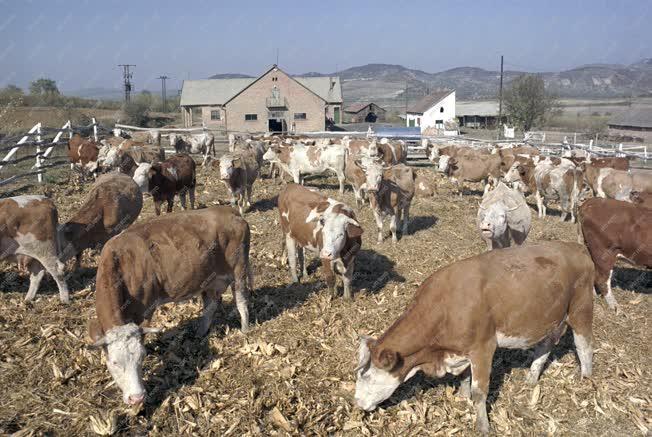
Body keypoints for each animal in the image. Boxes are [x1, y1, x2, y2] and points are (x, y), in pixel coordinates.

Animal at [90, 206, 253, 404]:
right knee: (211, 305)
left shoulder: (144, 310)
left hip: (239, 270)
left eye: (141, 357)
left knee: (241, 301)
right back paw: (200, 333)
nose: (137, 398)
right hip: (210, 279)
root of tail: (229, 209)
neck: (120, 263)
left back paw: (244, 329)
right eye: (114, 362)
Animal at [354, 240, 592, 434]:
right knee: (546, 345)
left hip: (580, 309)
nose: (356, 403)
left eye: (367, 377)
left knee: (584, 346)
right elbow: (464, 376)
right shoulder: (461, 350)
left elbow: (480, 391)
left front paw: (482, 425)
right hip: (551, 318)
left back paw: (586, 380)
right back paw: (532, 378)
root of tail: (575, 246)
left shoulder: (483, 347)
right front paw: (461, 396)